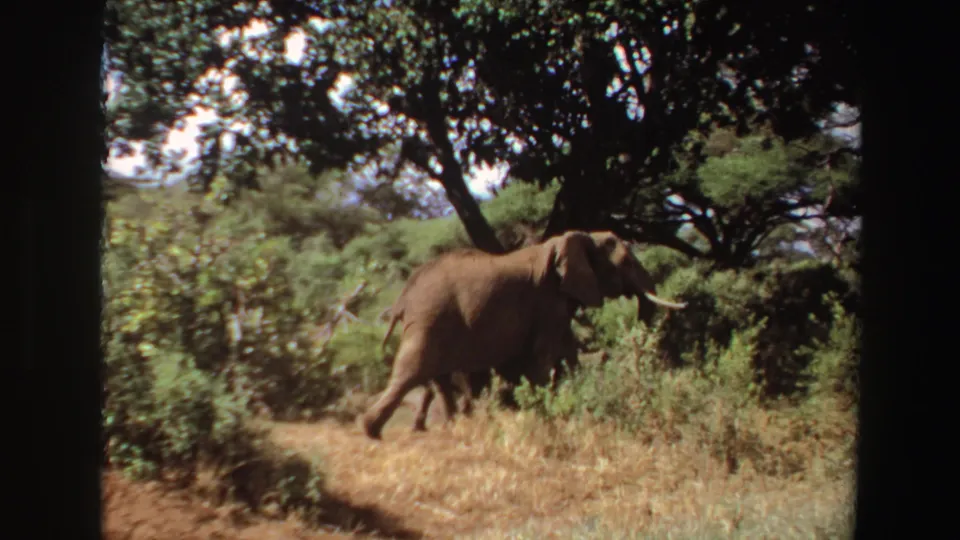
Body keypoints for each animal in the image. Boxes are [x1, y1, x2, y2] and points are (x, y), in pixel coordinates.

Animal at [361, 230, 687, 440]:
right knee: (412, 371)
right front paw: (546, 413)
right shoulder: (547, 301)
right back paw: (371, 429)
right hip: (431, 317)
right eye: (627, 263)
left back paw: (452, 427)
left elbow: (565, 352)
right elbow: (544, 355)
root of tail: (403, 298)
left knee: (436, 378)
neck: (573, 239)